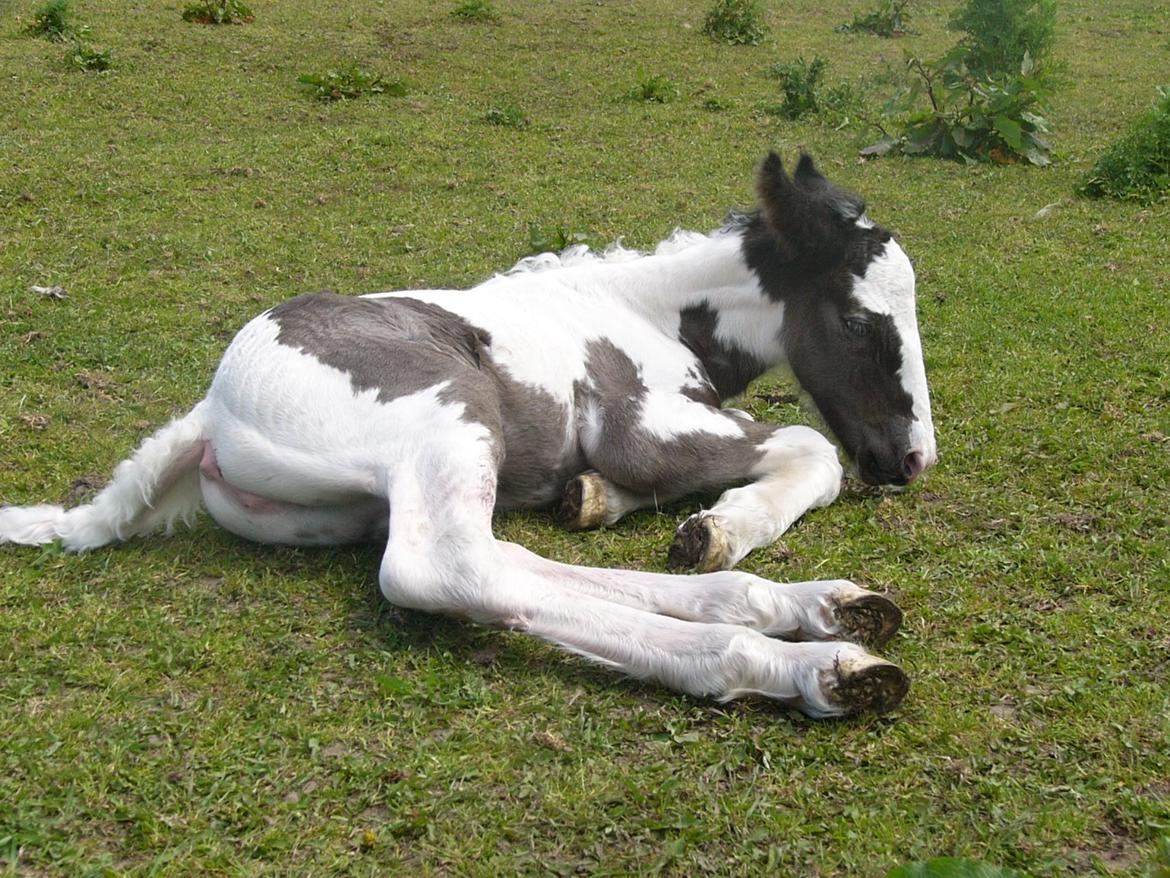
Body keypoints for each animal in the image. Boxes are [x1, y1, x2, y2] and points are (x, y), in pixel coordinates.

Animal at [0, 154, 931, 716]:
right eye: (860, 322)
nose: (911, 459)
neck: (643, 310)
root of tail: (207, 409)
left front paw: (604, 500)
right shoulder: (641, 425)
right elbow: (810, 450)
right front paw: (716, 525)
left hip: (380, 494)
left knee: (502, 559)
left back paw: (818, 609)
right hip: (451, 413)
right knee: (443, 569)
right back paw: (811, 664)